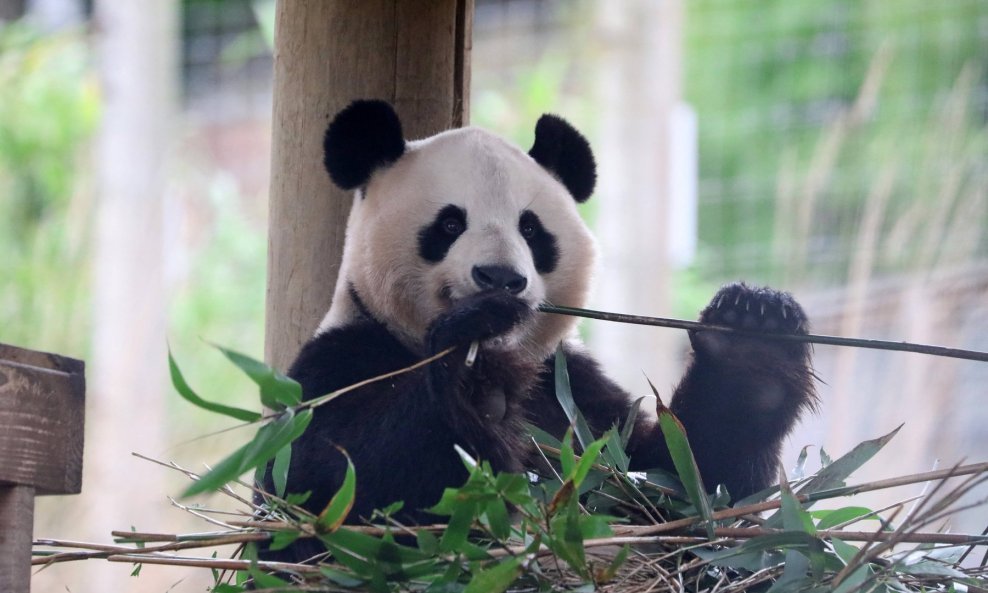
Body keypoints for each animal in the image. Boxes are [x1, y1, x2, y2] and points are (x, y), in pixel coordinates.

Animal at [260, 99, 812, 560]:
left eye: (530, 229)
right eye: (449, 225)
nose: (501, 279)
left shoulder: (576, 398)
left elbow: (685, 486)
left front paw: (752, 339)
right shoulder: (337, 363)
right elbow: (330, 490)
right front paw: (473, 382)